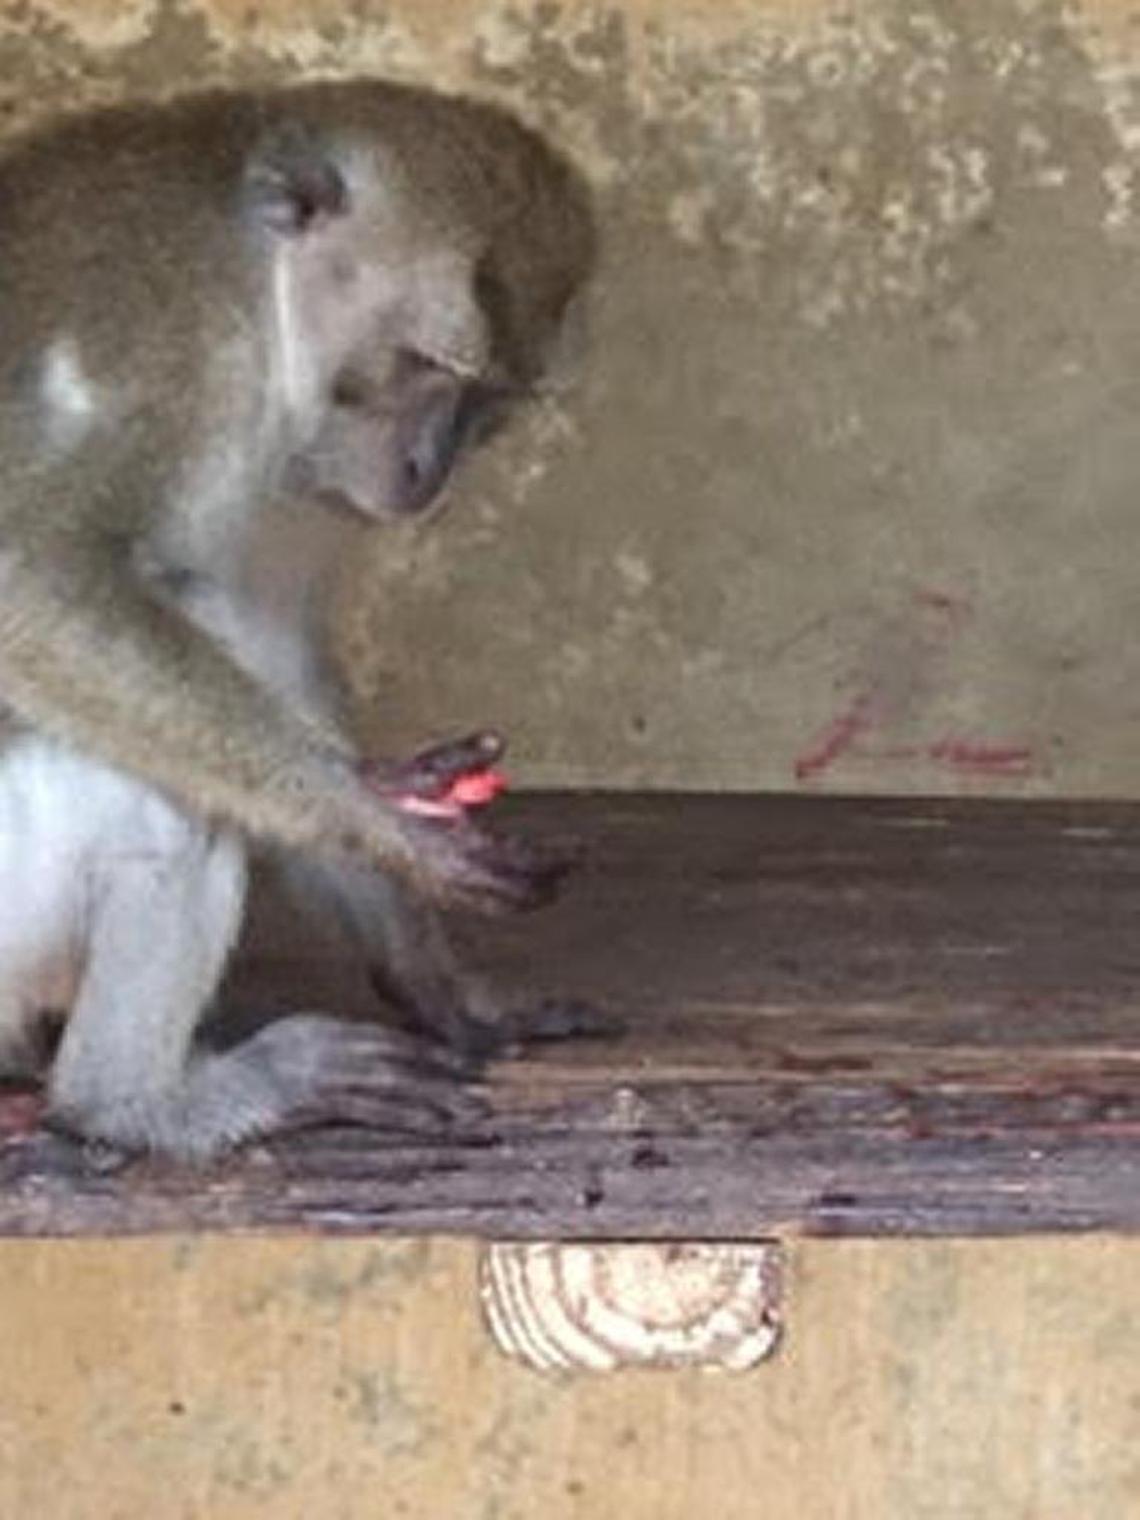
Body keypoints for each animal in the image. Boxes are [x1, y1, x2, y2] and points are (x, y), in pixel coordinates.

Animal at [0, 80, 596, 1158]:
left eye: (488, 400)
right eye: (422, 364)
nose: (427, 472)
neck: (261, 292)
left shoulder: (297, 481)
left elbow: (266, 642)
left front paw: (435, 975)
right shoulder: (167, 346)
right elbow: (29, 576)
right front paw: (373, 812)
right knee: (166, 797)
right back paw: (132, 1102)